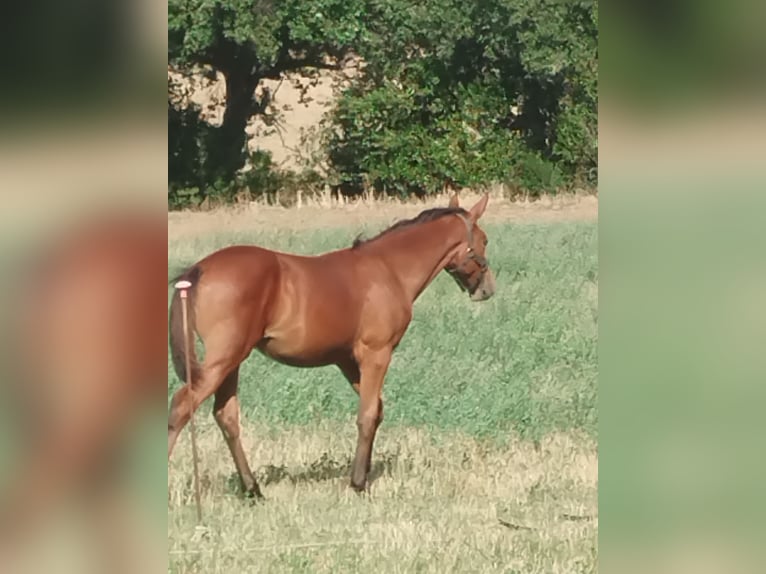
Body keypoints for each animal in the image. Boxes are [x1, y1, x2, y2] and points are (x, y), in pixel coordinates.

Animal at [168, 192, 498, 496]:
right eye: (484, 239)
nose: (487, 289)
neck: (389, 269)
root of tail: (196, 271)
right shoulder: (376, 354)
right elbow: (367, 415)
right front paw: (358, 484)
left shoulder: (346, 359)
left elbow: (376, 410)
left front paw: (363, 474)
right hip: (221, 360)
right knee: (181, 408)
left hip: (232, 362)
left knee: (226, 417)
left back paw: (253, 490)